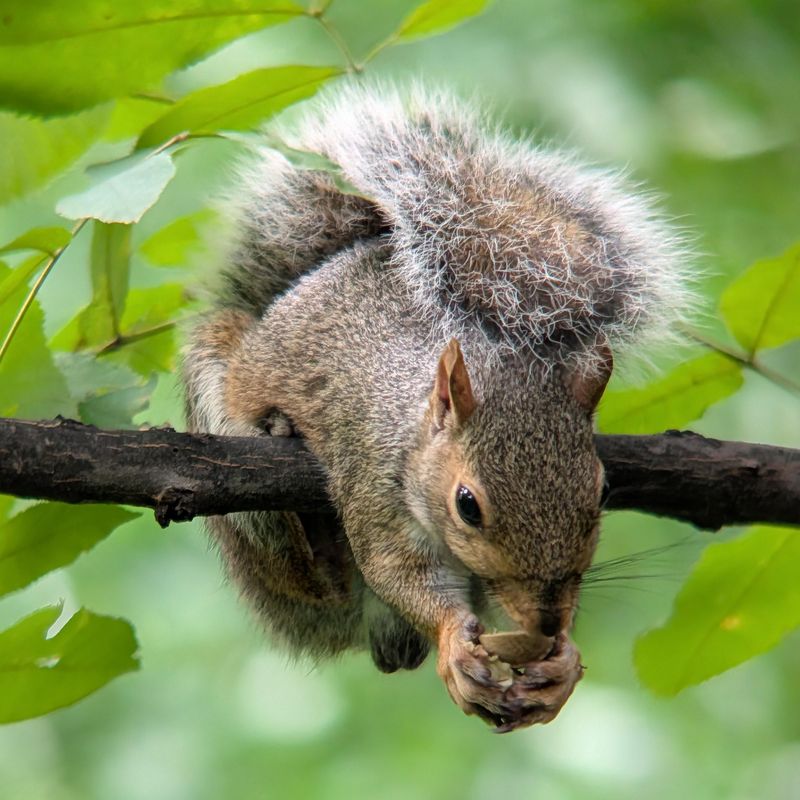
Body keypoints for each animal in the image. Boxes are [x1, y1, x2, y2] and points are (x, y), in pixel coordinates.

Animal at [183, 84, 691, 733]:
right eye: (466, 505)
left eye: (602, 491)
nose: (548, 620)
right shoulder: (371, 478)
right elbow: (397, 570)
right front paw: (454, 644)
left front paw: (562, 658)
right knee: (305, 577)